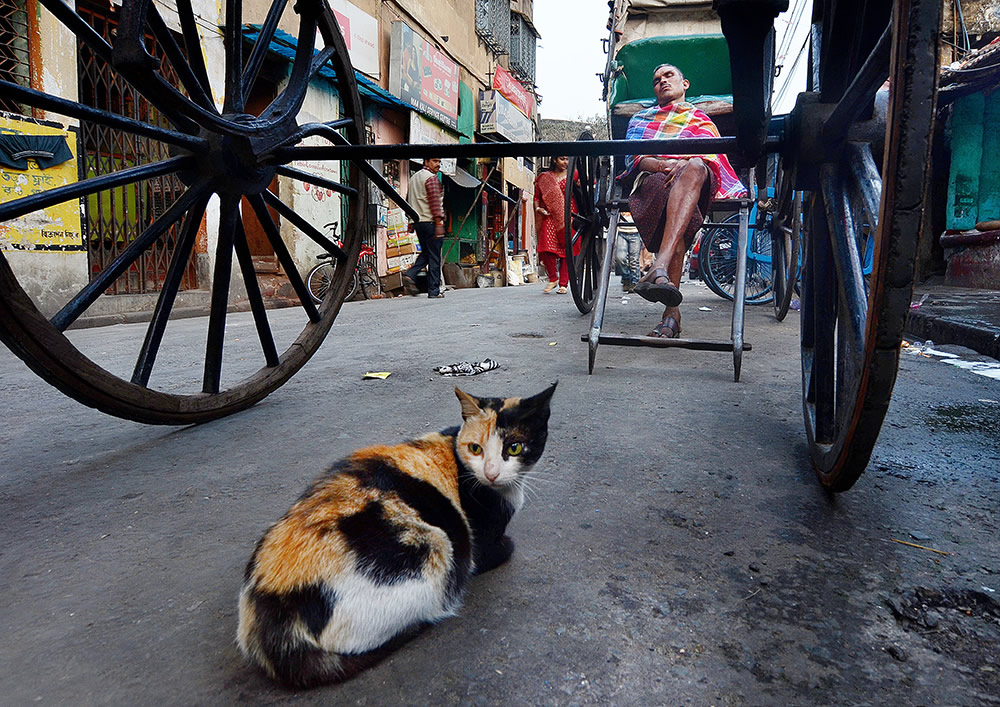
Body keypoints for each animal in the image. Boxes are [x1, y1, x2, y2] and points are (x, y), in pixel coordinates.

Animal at [239, 384, 560, 688]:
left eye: (514, 448)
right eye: (476, 449)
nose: (491, 473)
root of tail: (269, 603)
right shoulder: (481, 547)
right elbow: (501, 550)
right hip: (435, 551)